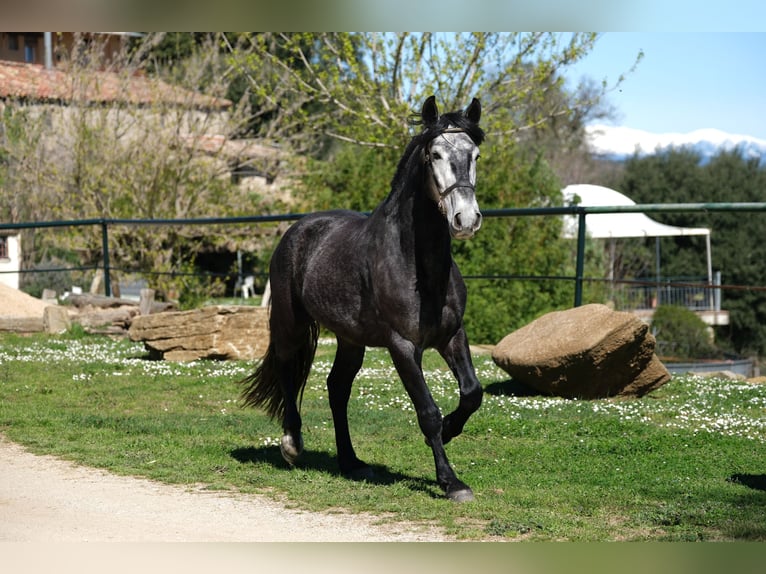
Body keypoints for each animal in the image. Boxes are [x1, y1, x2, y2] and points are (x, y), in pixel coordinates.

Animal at [240, 95, 485, 502]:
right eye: (434, 154)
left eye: (475, 154)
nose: (466, 219)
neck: (418, 266)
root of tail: (298, 228)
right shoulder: (403, 347)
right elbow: (428, 412)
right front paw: (451, 482)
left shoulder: (453, 335)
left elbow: (472, 393)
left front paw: (452, 429)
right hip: (290, 324)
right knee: (288, 371)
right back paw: (292, 445)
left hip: (350, 339)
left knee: (337, 389)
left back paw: (351, 462)